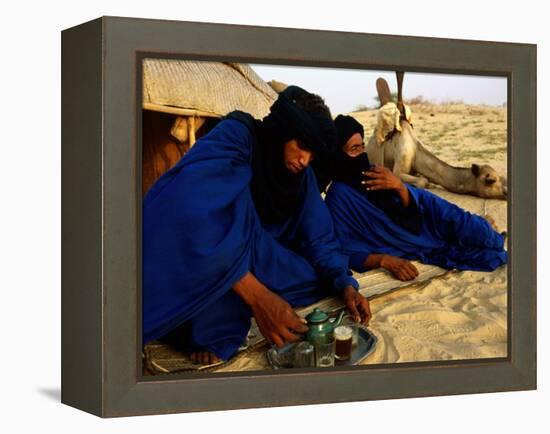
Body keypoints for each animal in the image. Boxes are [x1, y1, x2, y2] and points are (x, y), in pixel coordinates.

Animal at [368, 74, 512, 200]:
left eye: (500, 177)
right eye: (490, 180)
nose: (506, 192)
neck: (416, 152)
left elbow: (424, 178)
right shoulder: (399, 166)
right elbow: (421, 181)